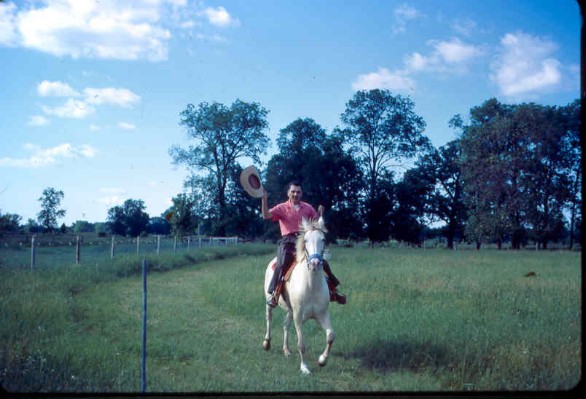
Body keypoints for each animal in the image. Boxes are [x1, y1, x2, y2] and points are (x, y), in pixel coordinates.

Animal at [264, 217, 336, 374]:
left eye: (323, 239)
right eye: (306, 240)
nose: (315, 263)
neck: (311, 285)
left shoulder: (322, 314)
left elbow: (330, 336)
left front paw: (322, 360)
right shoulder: (298, 315)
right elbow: (301, 344)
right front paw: (305, 367)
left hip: (290, 310)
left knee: (285, 324)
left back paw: (286, 350)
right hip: (270, 302)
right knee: (269, 318)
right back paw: (266, 343)